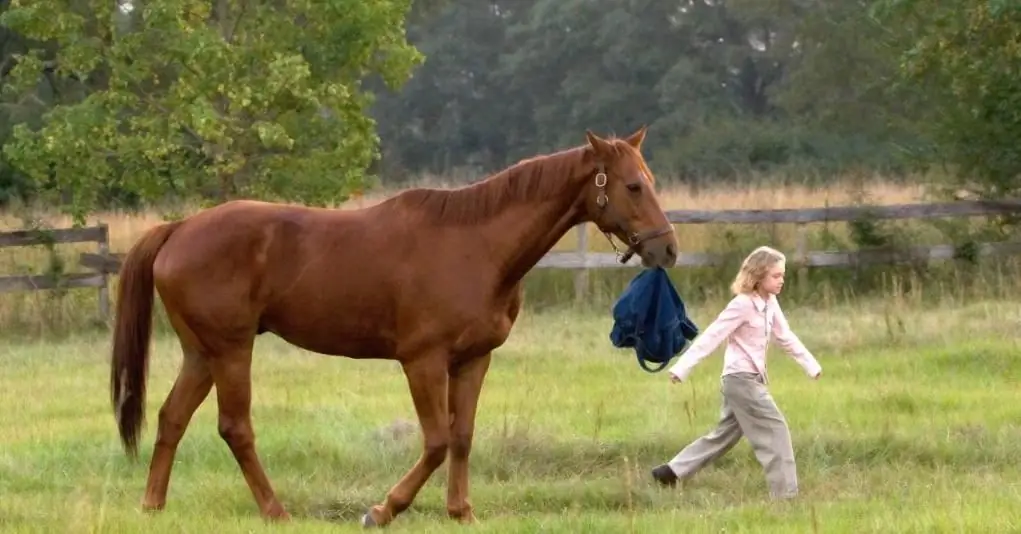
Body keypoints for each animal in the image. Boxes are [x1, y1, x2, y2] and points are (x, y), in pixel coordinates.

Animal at [109, 127, 677, 526]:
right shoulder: (422, 361)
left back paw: (153, 504)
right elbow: (436, 440)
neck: (476, 245)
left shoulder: (473, 359)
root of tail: (180, 228)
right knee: (235, 427)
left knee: (171, 418)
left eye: (652, 181)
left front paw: (461, 511)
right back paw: (274, 511)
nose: (667, 249)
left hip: (201, 353)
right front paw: (383, 509)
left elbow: (462, 436)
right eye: (632, 185)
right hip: (231, 350)